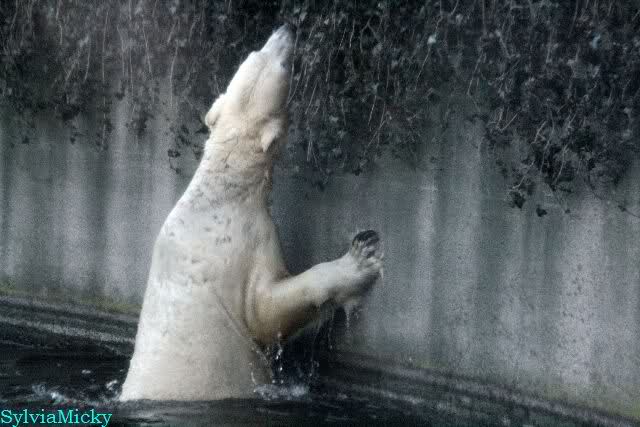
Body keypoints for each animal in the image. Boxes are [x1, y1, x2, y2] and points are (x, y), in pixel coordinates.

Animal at [119, 24, 382, 401]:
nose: (286, 29)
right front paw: (361, 256)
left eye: (253, 51)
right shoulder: (244, 246)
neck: (222, 194)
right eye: (283, 67)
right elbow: (267, 310)